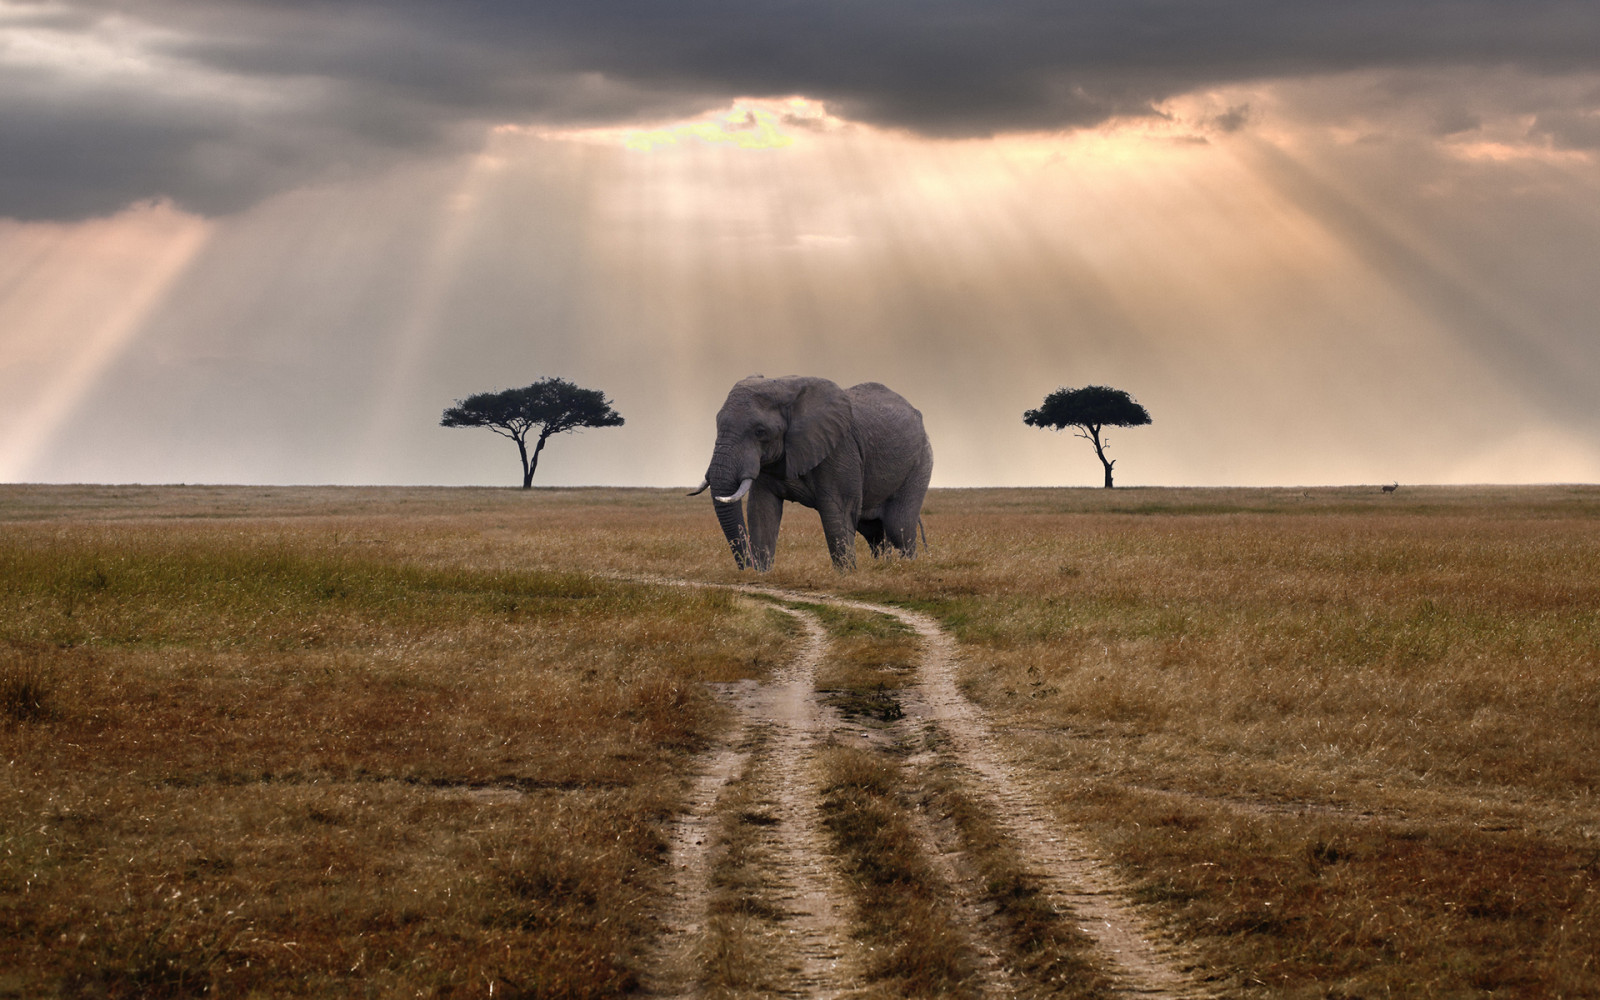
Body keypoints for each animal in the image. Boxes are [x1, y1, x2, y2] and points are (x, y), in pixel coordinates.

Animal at [689, 375, 933, 571]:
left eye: (760, 431)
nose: (748, 567)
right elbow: (761, 510)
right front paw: (763, 574)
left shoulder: (839, 449)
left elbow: (837, 511)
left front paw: (847, 575)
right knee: (873, 532)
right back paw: (884, 567)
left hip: (920, 463)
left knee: (899, 527)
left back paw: (907, 568)